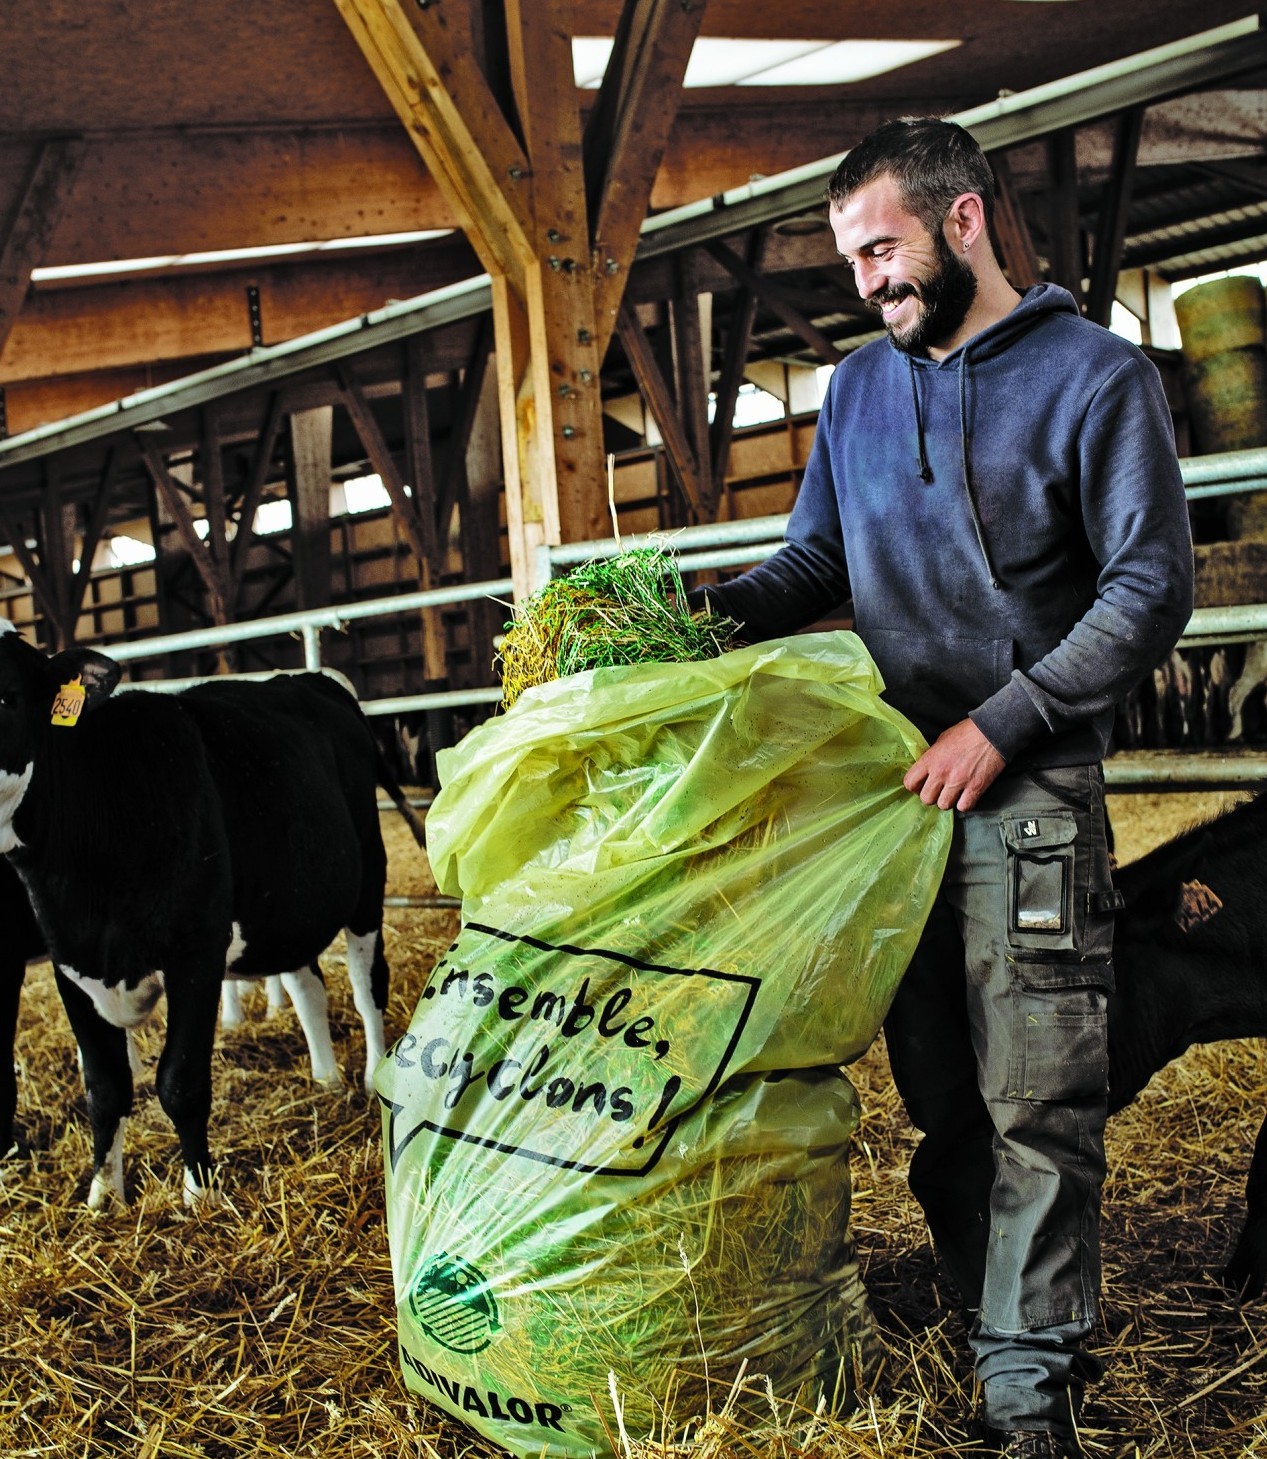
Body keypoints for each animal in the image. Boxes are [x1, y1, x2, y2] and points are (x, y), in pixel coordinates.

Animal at [0, 639, 420, 1208]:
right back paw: (325, 1078)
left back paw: (375, 1074)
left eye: (7, 696)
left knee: (366, 983)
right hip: (288, 904)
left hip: (367, 887)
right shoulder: (71, 965)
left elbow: (180, 1080)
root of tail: (306, 678)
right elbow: (104, 1088)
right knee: (308, 985)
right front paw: (103, 1195)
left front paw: (199, 1192)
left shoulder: (195, 954)